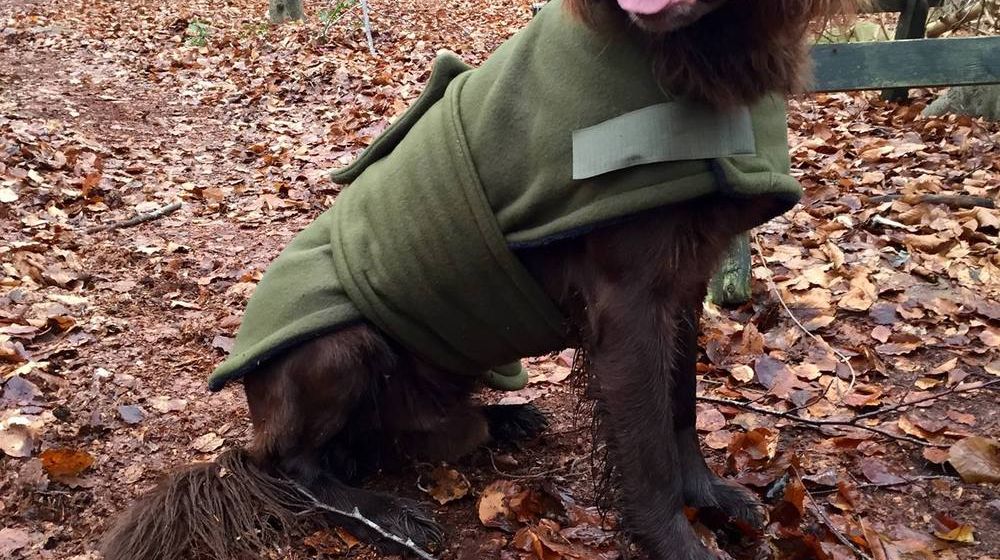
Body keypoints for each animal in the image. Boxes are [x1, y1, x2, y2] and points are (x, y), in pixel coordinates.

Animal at [101, 2, 852, 556]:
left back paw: (506, 418)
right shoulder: (628, 298)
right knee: (290, 468)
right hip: (338, 347)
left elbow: (681, 410)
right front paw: (677, 543)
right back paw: (384, 516)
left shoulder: (687, 280)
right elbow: (645, 451)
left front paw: (710, 498)